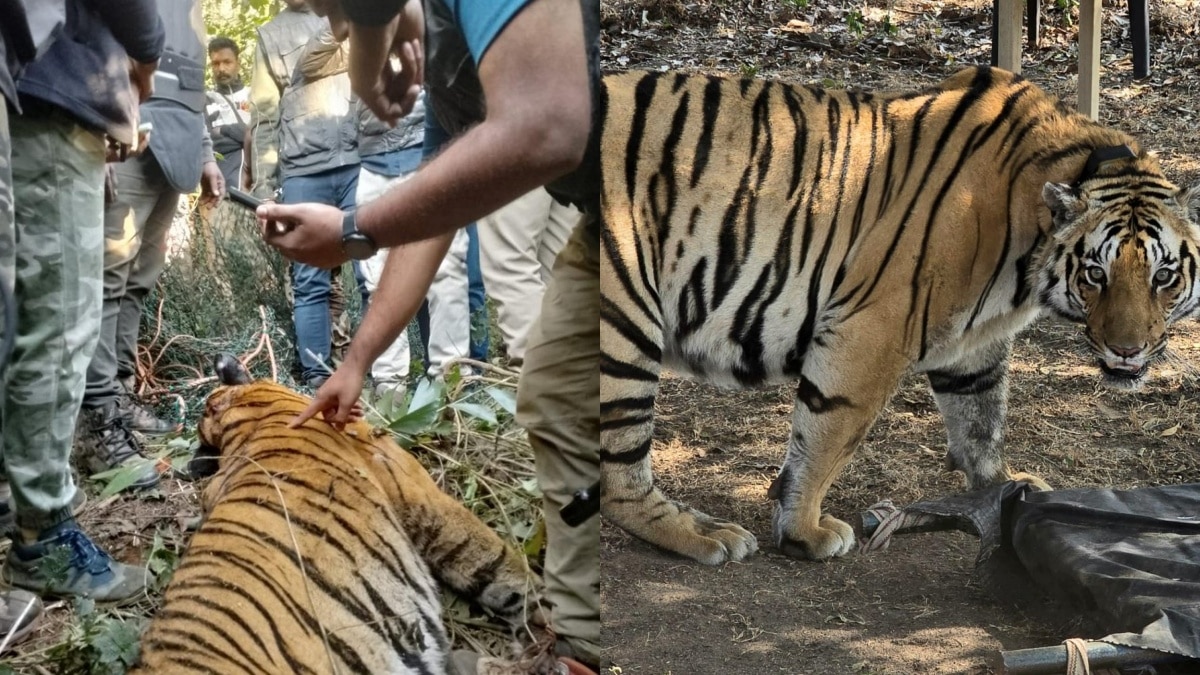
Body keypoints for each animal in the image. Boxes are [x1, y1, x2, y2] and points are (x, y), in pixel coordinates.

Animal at [600, 66, 1200, 562]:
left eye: (1162, 276)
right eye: (1096, 274)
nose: (1127, 349)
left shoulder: (975, 346)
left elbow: (981, 420)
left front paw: (1004, 490)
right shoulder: (872, 330)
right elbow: (827, 434)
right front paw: (803, 531)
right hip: (623, 325)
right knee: (619, 478)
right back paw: (703, 535)